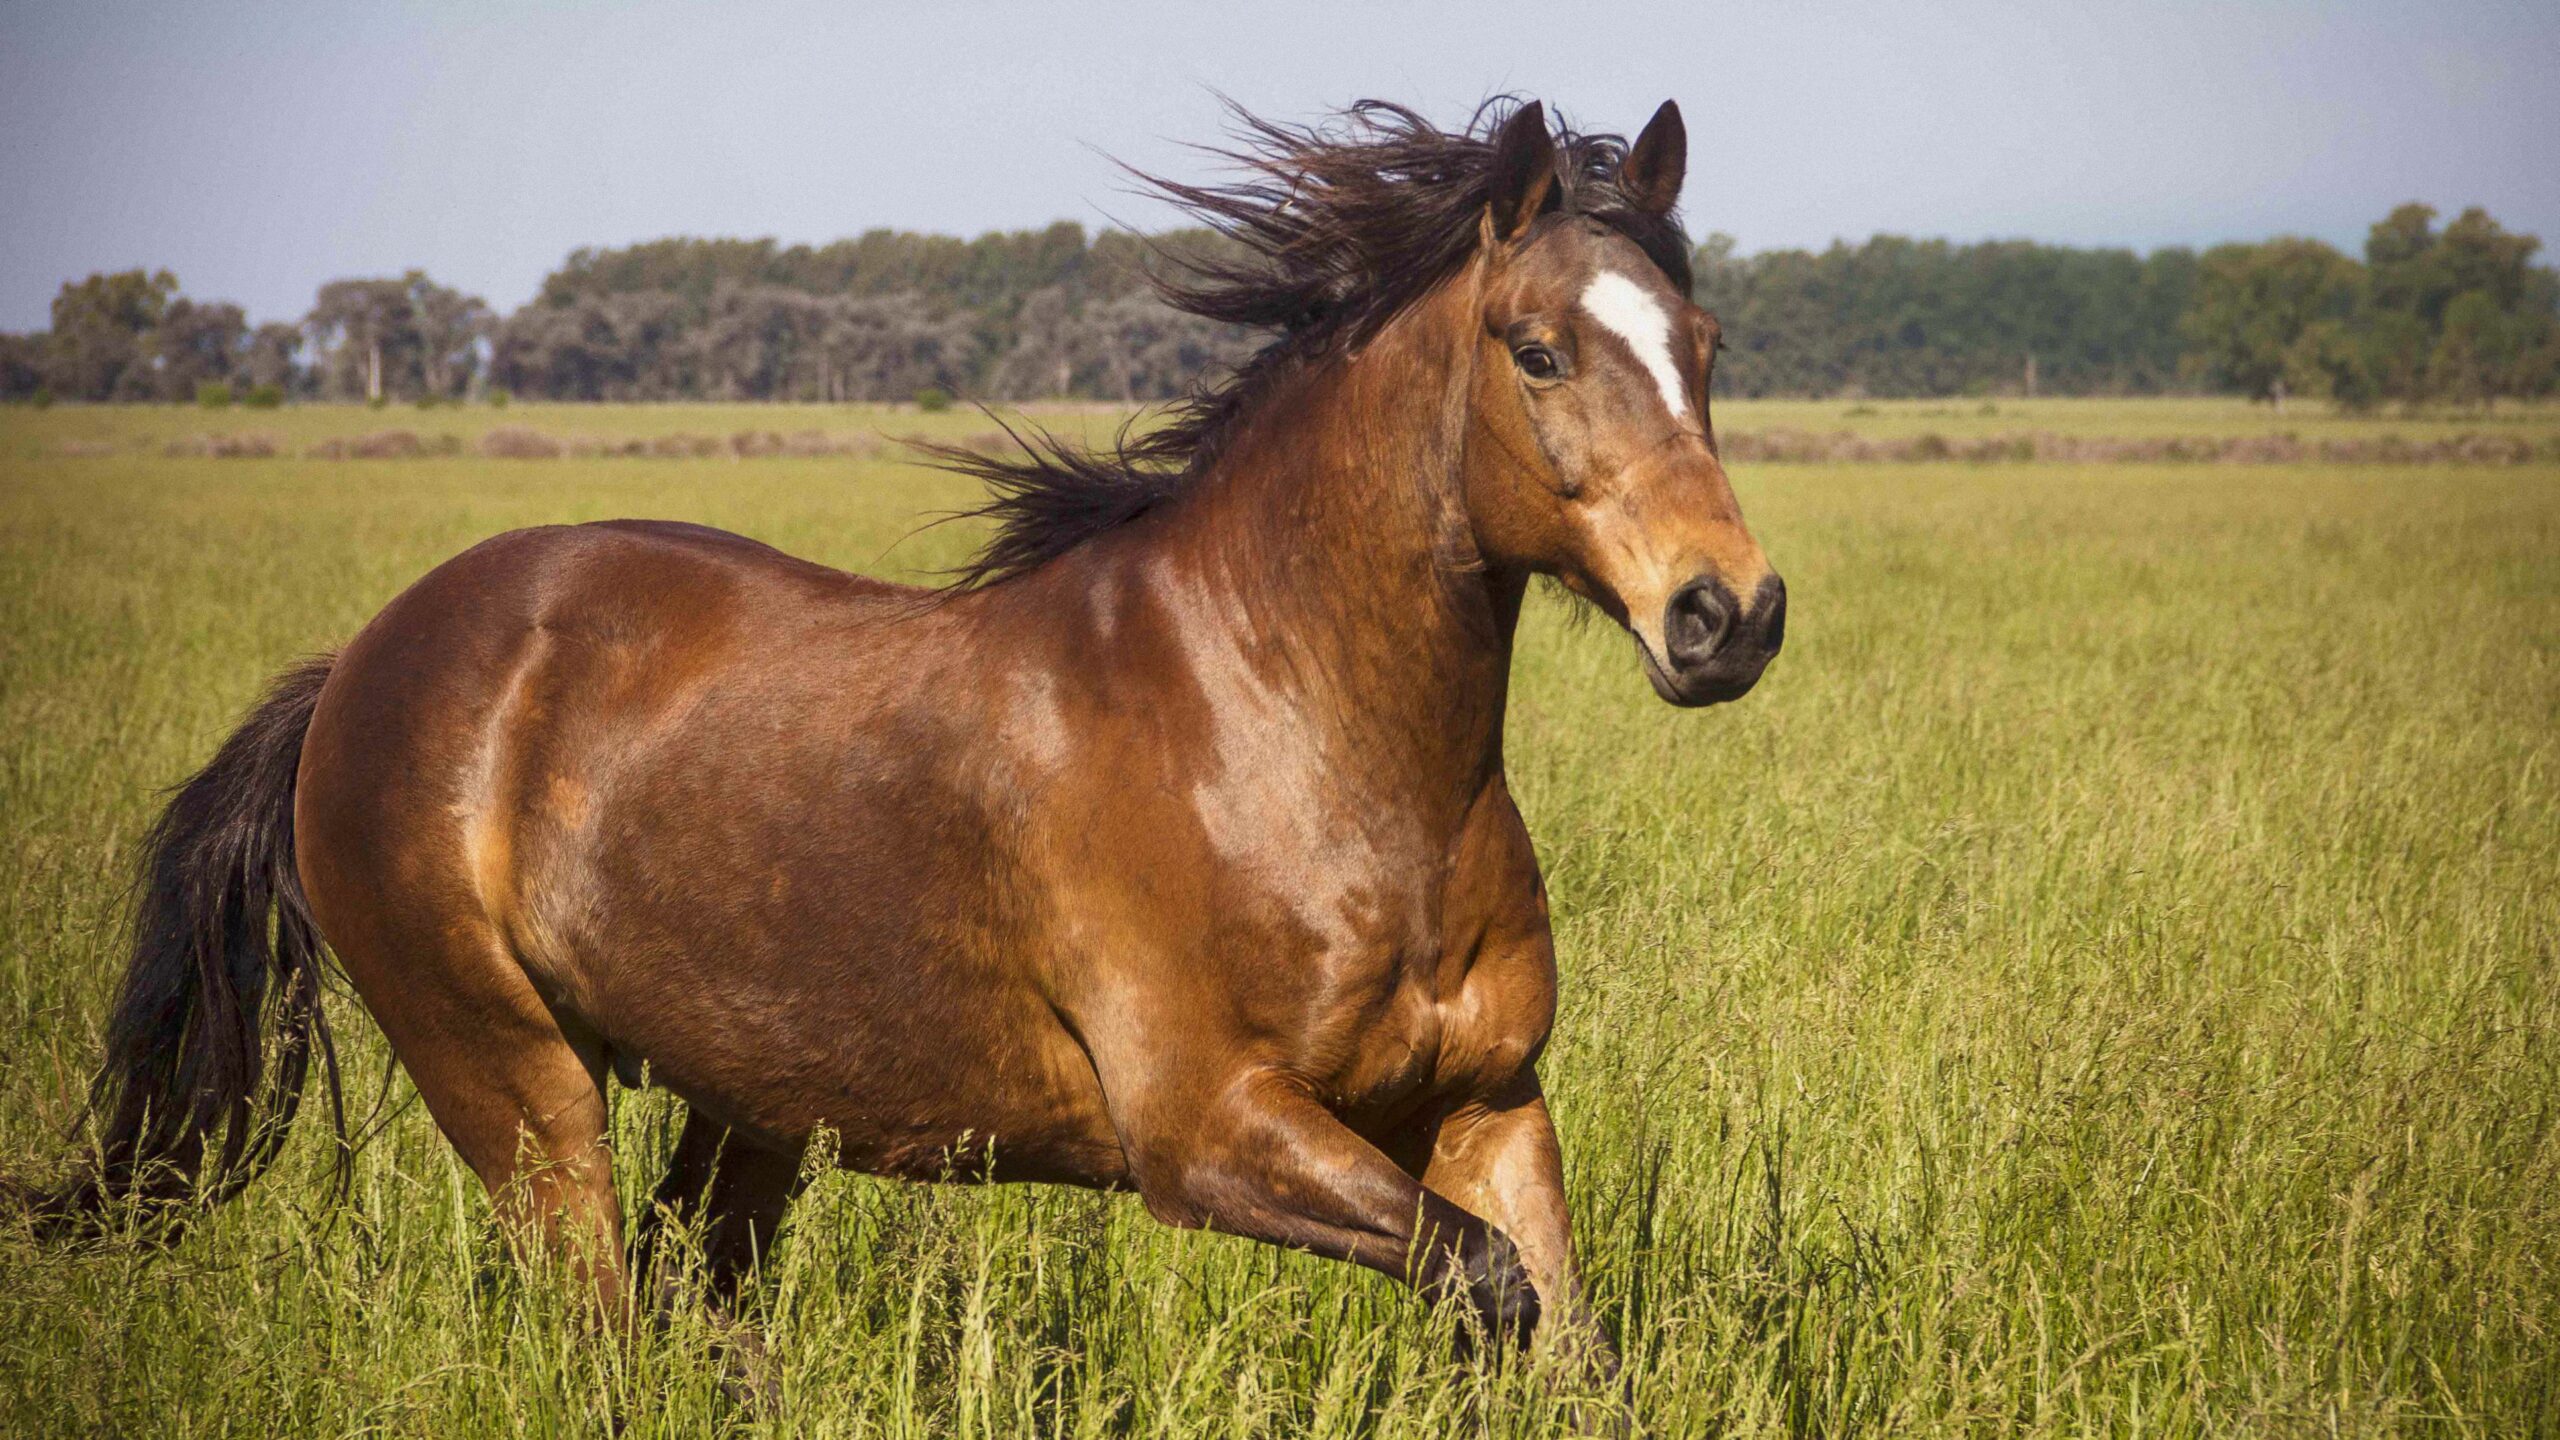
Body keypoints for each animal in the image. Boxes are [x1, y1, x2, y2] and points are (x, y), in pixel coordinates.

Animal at [24, 101, 1781, 1363]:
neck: (1294, 739)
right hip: (516, 1086)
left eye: (1704, 350)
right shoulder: (1210, 1132)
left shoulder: (1486, 1104)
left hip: (746, 1113)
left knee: (695, 1323)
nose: (1729, 616)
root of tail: (359, 669)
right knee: (602, 1334)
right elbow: (1486, 1289)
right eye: (1539, 351)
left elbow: (1560, 1329)